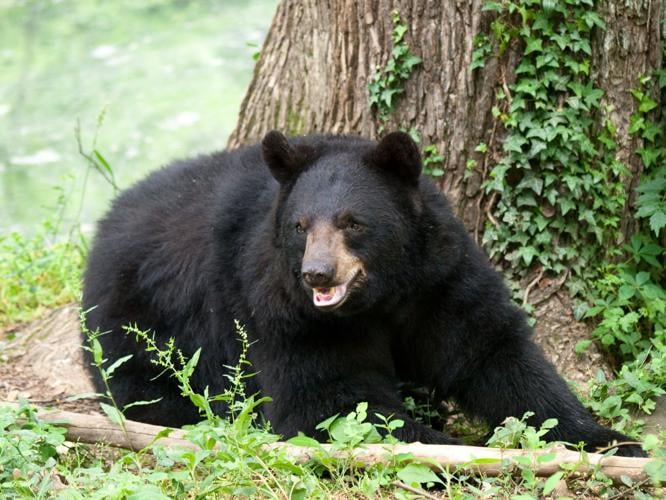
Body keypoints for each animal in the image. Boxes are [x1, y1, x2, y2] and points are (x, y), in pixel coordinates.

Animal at [81, 131, 640, 456]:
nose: (317, 275)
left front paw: (609, 439)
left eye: (353, 222)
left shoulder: (438, 279)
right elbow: (329, 397)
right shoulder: (280, 306)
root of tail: (106, 221)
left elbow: (493, 353)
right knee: (146, 387)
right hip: (138, 325)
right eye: (301, 225)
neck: (381, 298)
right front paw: (446, 445)